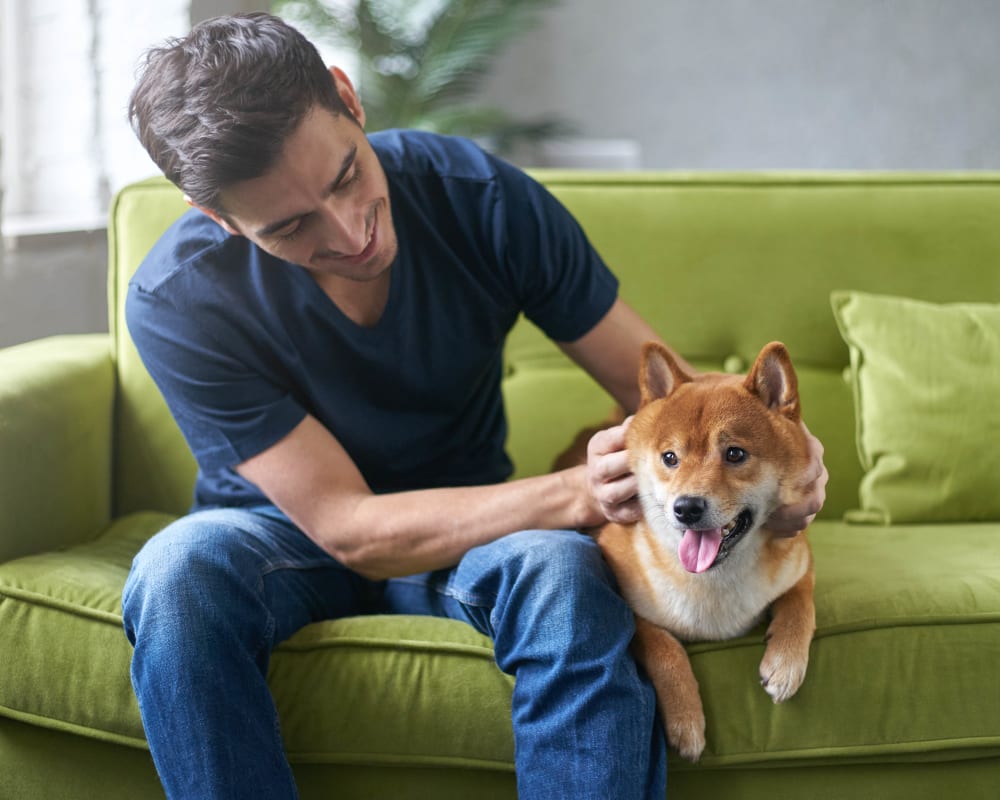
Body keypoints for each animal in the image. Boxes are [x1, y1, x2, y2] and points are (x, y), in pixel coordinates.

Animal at [572, 340, 812, 764]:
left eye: (735, 454)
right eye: (670, 458)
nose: (686, 507)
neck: (712, 584)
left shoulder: (802, 561)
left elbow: (801, 604)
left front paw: (786, 662)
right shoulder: (628, 603)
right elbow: (662, 645)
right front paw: (686, 720)